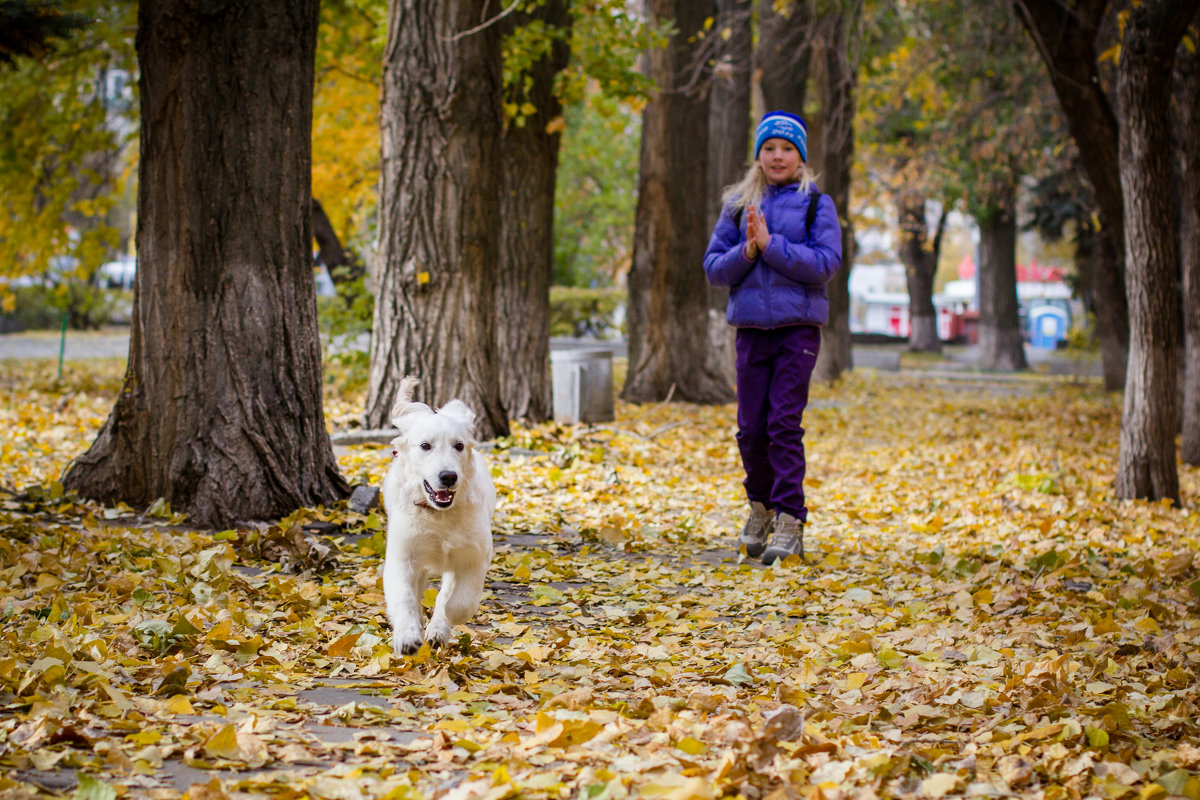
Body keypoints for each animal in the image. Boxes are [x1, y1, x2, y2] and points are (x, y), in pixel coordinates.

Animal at [384, 379, 496, 652]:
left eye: (459, 446)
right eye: (425, 446)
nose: (448, 476)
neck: (439, 515)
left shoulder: (474, 555)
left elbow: (458, 601)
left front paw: (443, 621)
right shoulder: (401, 557)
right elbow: (404, 597)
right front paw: (407, 637)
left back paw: (436, 630)